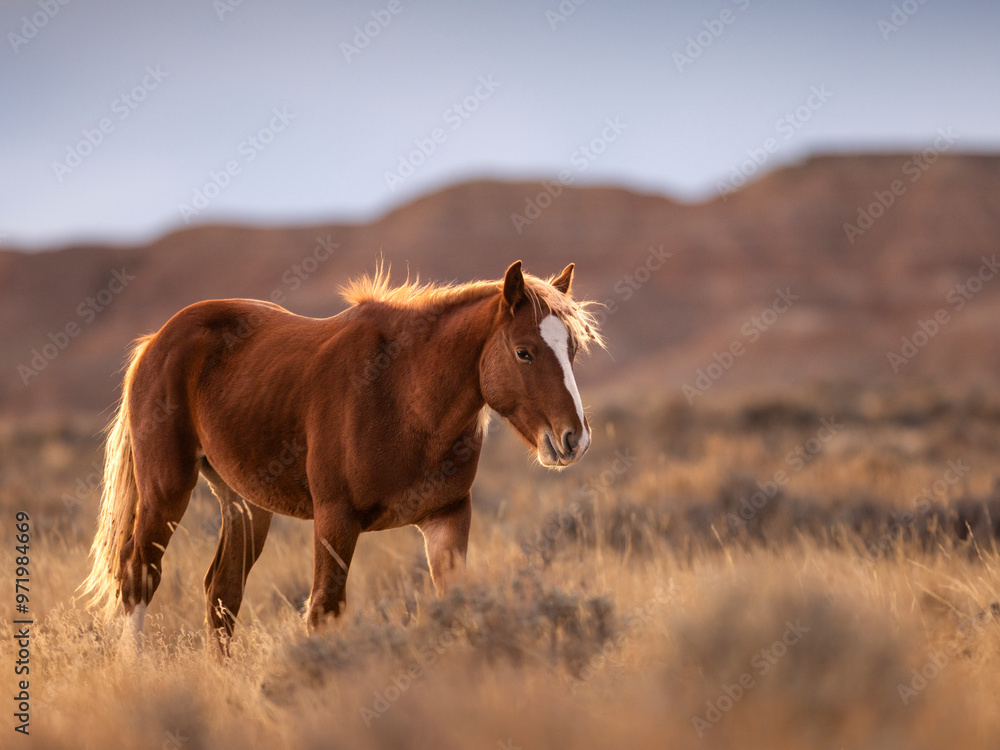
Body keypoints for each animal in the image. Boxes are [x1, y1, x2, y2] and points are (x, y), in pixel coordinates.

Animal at [80, 260, 604, 653]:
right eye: (524, 352)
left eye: (573, 349)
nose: (573, 439)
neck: (402, 394)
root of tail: (157, 341)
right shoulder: (335, 519)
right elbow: (324, 613)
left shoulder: (447, 517)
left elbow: (454, 606)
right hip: (166, 491)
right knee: (138, 579)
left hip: (244, 505)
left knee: (221, 596)